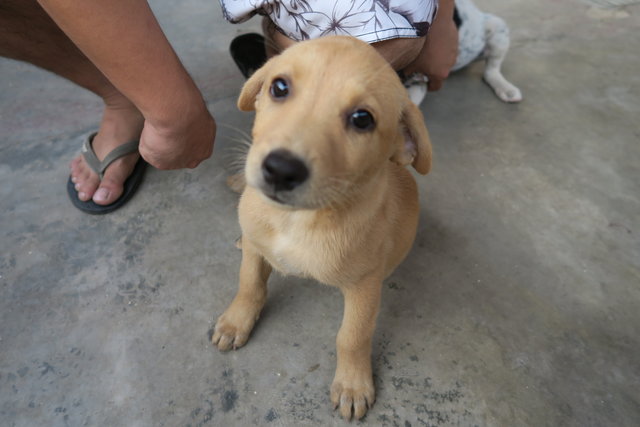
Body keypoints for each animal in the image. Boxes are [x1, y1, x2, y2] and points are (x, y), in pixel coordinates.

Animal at [212, 34, 432, 422]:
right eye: (279, 87)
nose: (280, 169)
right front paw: (237, 322)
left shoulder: (364, 286)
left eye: (362, 119)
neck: (296, 220)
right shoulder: (256, 249)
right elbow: (249, 283)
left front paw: (352, 385)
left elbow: (352, 336)